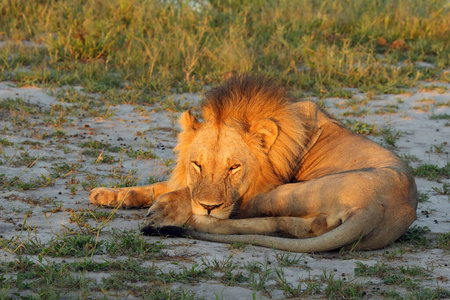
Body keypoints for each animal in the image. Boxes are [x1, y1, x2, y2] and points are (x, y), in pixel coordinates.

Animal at [89, 74, 418, 251]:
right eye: (197, 165)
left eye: (234, 167)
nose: (208, 206)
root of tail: (376, 210)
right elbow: (161, 185)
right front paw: (108, 194)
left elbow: (182, 193)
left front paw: (165, 208)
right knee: (296, 226)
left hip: (286, 192)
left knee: (249, 215)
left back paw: (182, 220)